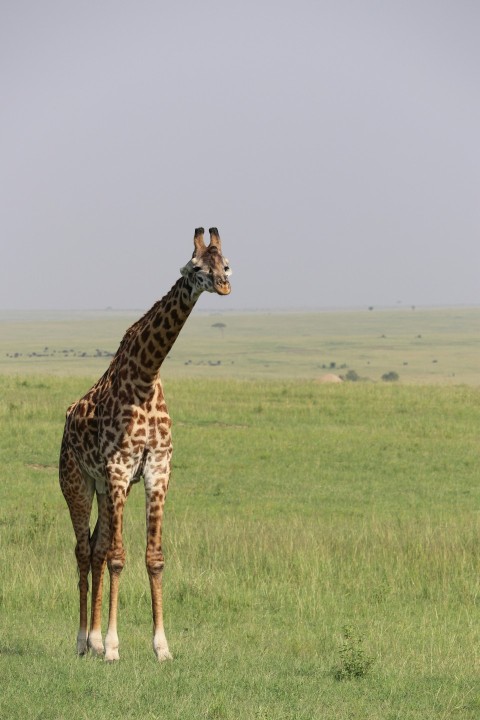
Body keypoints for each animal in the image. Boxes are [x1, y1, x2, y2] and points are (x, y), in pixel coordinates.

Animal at [59, 227, 231, 662]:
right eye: (196, 267)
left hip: (104, 488)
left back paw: (93, 639)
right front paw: (114, 647)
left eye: (226, 262)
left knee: (96, 547)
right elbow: (119, 558)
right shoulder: (120, 469)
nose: (223, 284)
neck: (146, 376)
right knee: (84, 550)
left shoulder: (157, 470)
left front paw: (161, 647)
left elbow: (153, 558)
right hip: (78, 482)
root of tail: (67, 421)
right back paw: (83, 641)